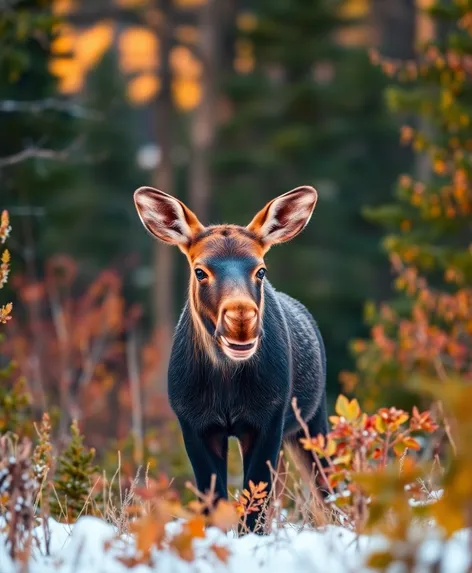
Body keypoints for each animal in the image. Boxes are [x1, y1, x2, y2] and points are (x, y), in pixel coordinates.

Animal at [133, 187, 326, 532]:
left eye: (260, 269)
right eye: (200, 270)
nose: (240, 319)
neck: (226, 387)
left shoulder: (269, 420)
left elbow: (255, 505)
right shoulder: (194, 424)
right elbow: (215, 501)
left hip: (312, 420)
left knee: (328, 488)